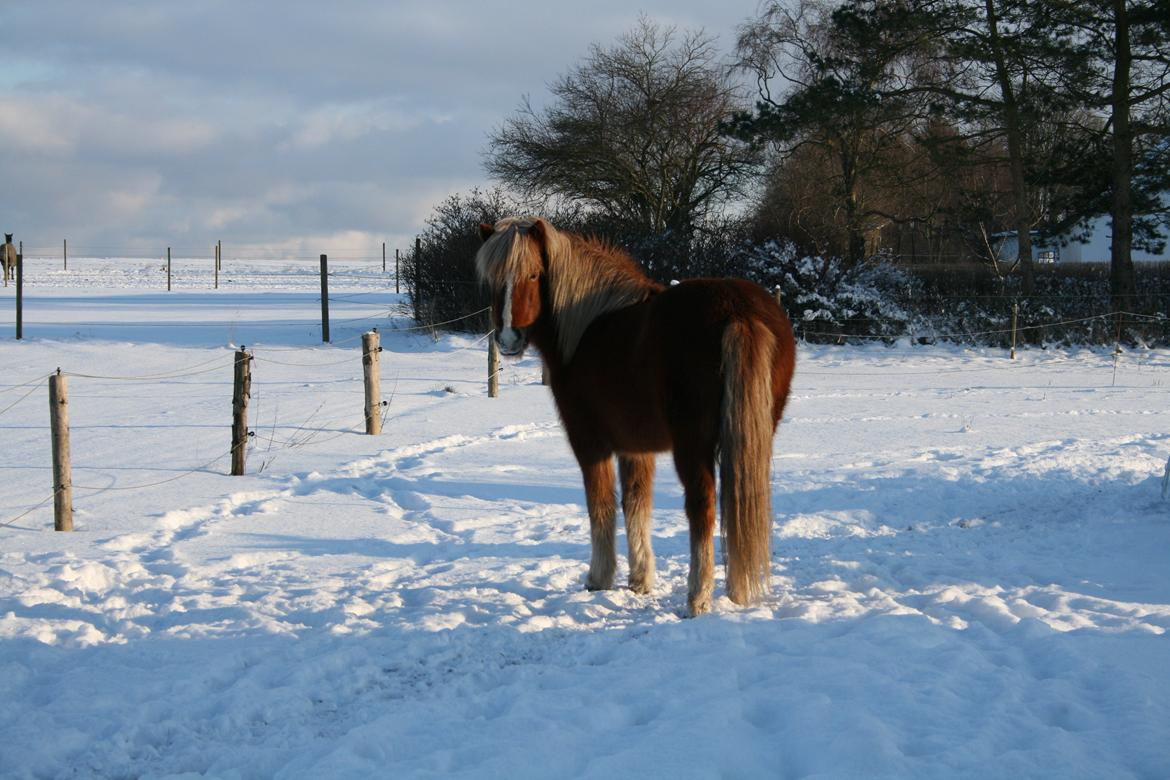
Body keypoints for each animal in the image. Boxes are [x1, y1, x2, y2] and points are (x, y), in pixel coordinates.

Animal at [475, 215, 795, 617]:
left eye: (533, 275)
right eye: (492, 280)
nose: (508, 339)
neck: (588, 326)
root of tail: (736, 311)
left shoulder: (589, 442)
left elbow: (601, 504)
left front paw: (599, 578)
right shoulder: (635, 446)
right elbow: (636, 503)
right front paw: (640, 580)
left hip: (693, 445)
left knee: (702, 507)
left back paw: (697, 597)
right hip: (753, 437)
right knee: (740, 504)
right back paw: (735, 589)